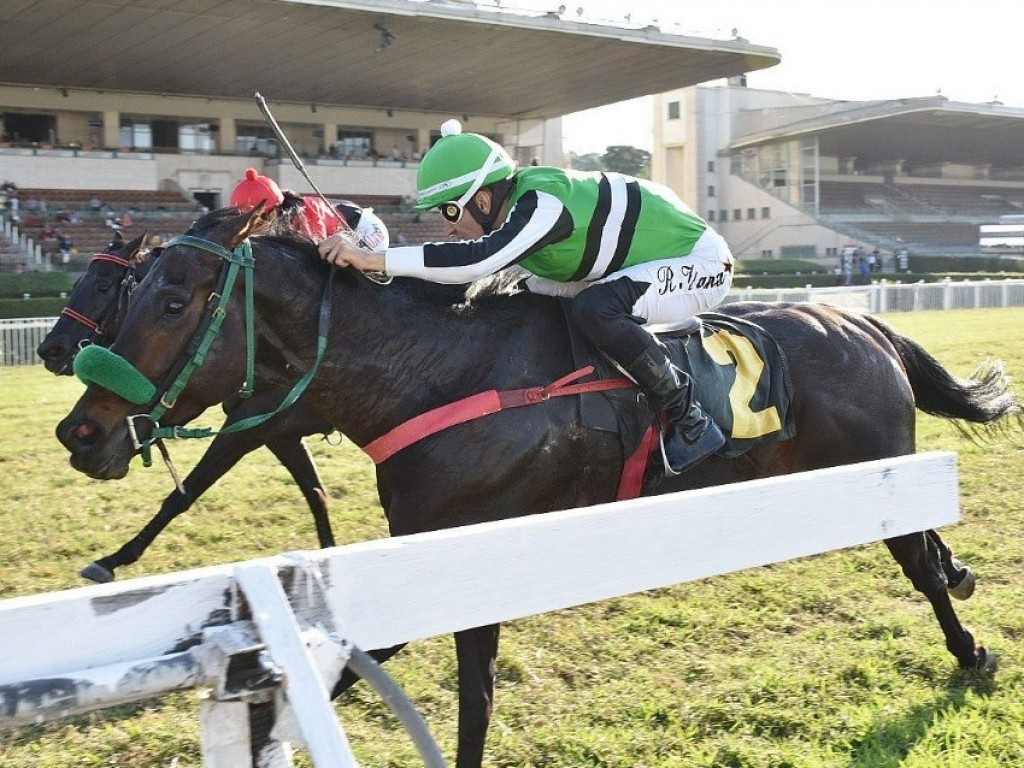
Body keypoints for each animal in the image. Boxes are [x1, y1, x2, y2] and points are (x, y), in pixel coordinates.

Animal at [37, 231, 339, 581]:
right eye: (76, 284)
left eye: (102, 285)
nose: (50, 349)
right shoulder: (278, 434)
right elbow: (316, 494)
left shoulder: (250, 426)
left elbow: (185, 493)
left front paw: (111, 560)